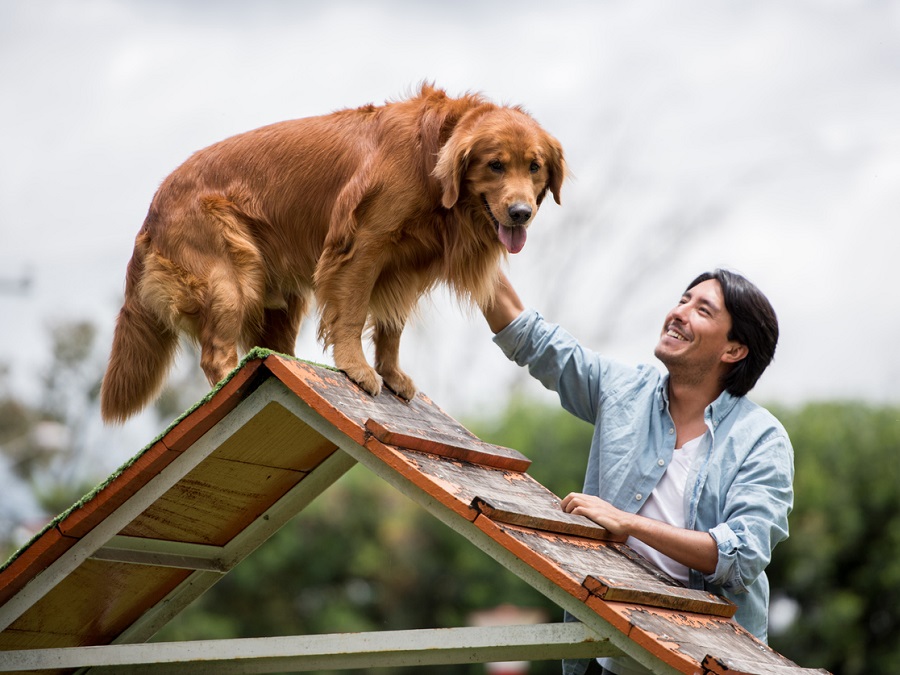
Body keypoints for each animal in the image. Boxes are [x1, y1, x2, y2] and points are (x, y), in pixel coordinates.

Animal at [98, 84, 564, 422]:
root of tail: (153, 210)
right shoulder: (362, 246)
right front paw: (357, 369)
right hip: (230, 280)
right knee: (215, 351)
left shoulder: (406, 268)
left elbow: (392, 328)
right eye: (495, 165)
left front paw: (392, 373)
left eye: (534, 166)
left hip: (280, 302)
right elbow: (353, 313)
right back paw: (231, 380)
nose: (521, 213)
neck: (430, 157)